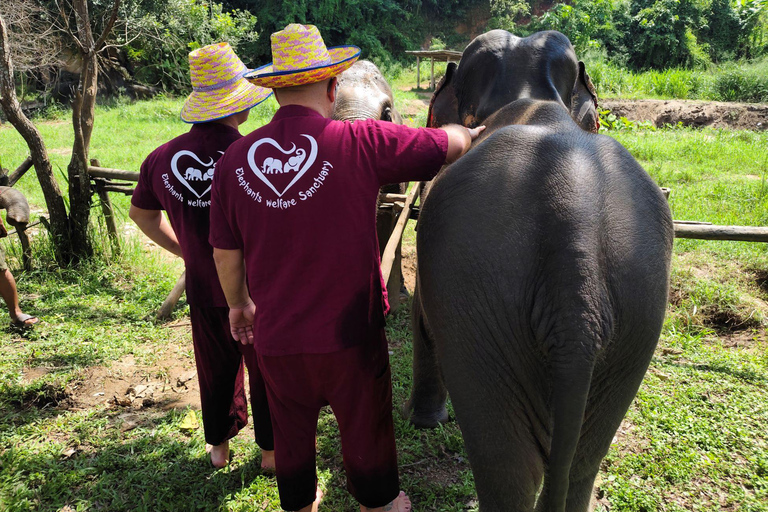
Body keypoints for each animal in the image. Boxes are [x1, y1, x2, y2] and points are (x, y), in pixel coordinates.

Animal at [404, 98, 676, 510]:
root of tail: (575, 229)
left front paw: (424, 423)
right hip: (639, 305)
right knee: (578, 461)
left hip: (483, 299)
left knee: (512, 467)